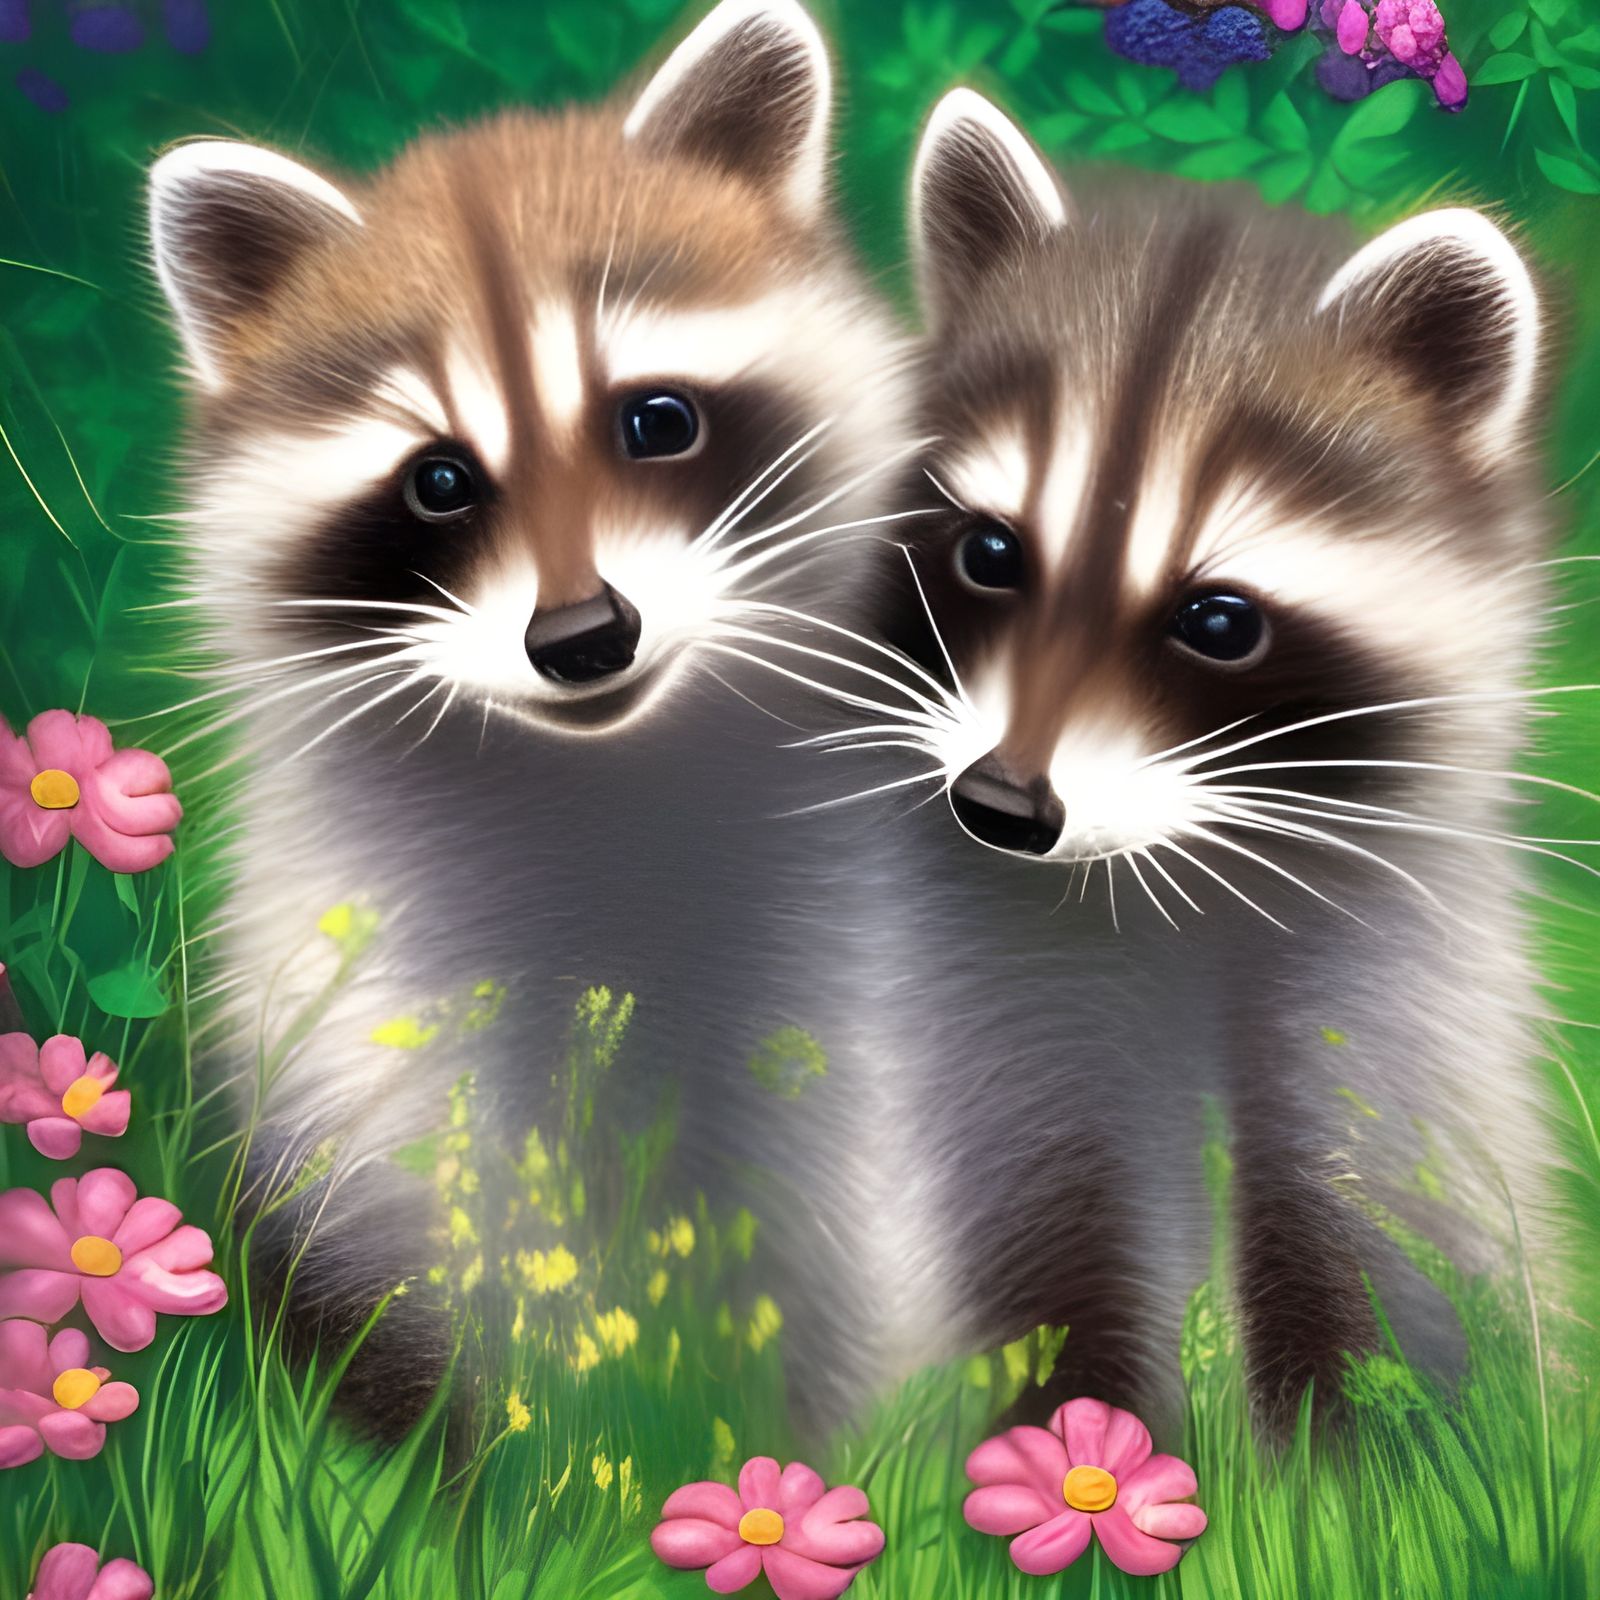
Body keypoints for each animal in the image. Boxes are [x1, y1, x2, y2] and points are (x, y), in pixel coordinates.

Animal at [146, 0, 914, 1436]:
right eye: (440, 481)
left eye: (656, 418)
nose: (582, 638)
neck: (602, 777)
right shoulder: (361, 1003)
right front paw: (497, 1461)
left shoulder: (850, 974)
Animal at [796, 90, 1558, 1432]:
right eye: (990, 551)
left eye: (1216, 620)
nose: (1000, 803)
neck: (1170, 868)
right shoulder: (976, 954)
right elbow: (1037, 1184)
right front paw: (1077, 1427)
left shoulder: (1388, 939)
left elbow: (1375, 1187)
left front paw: (1349, 1451)